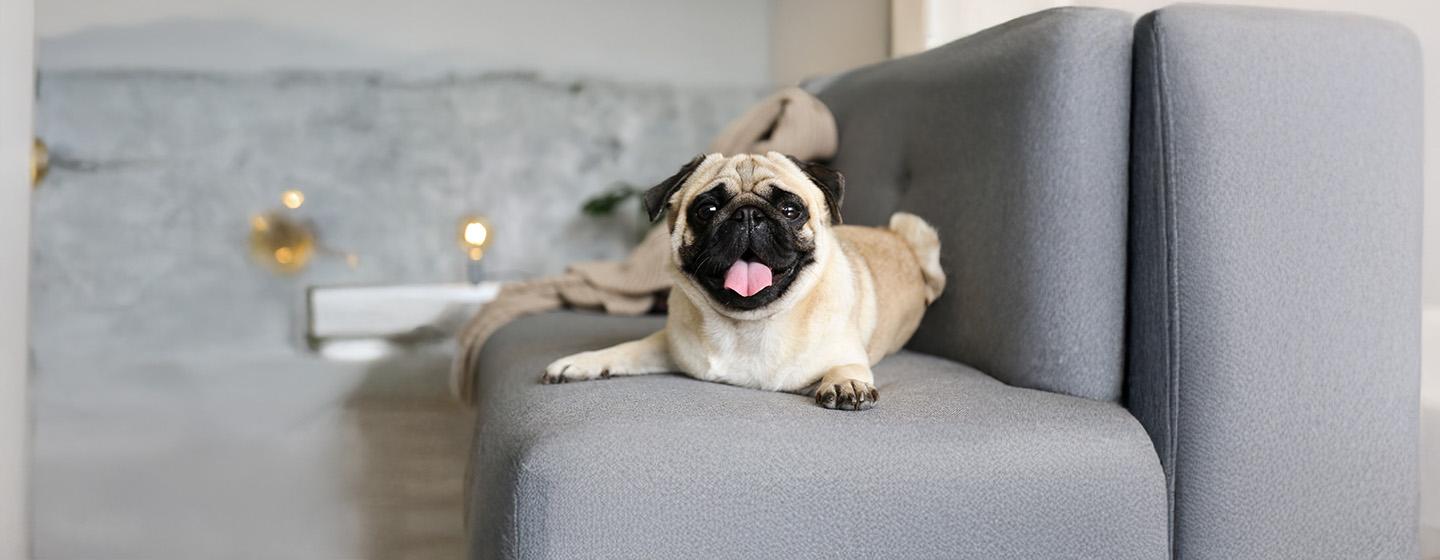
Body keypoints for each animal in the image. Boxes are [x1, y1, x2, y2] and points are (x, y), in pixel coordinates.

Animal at [543, 152, 944, 410]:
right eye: (707, 210)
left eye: (790, 210)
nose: (749, 215)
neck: (747, 326)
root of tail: (895, 234)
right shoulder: (668, 347)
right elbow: (625, 350)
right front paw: (580, 363)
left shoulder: (845, 354)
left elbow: (847, 366)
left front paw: (846, 382)